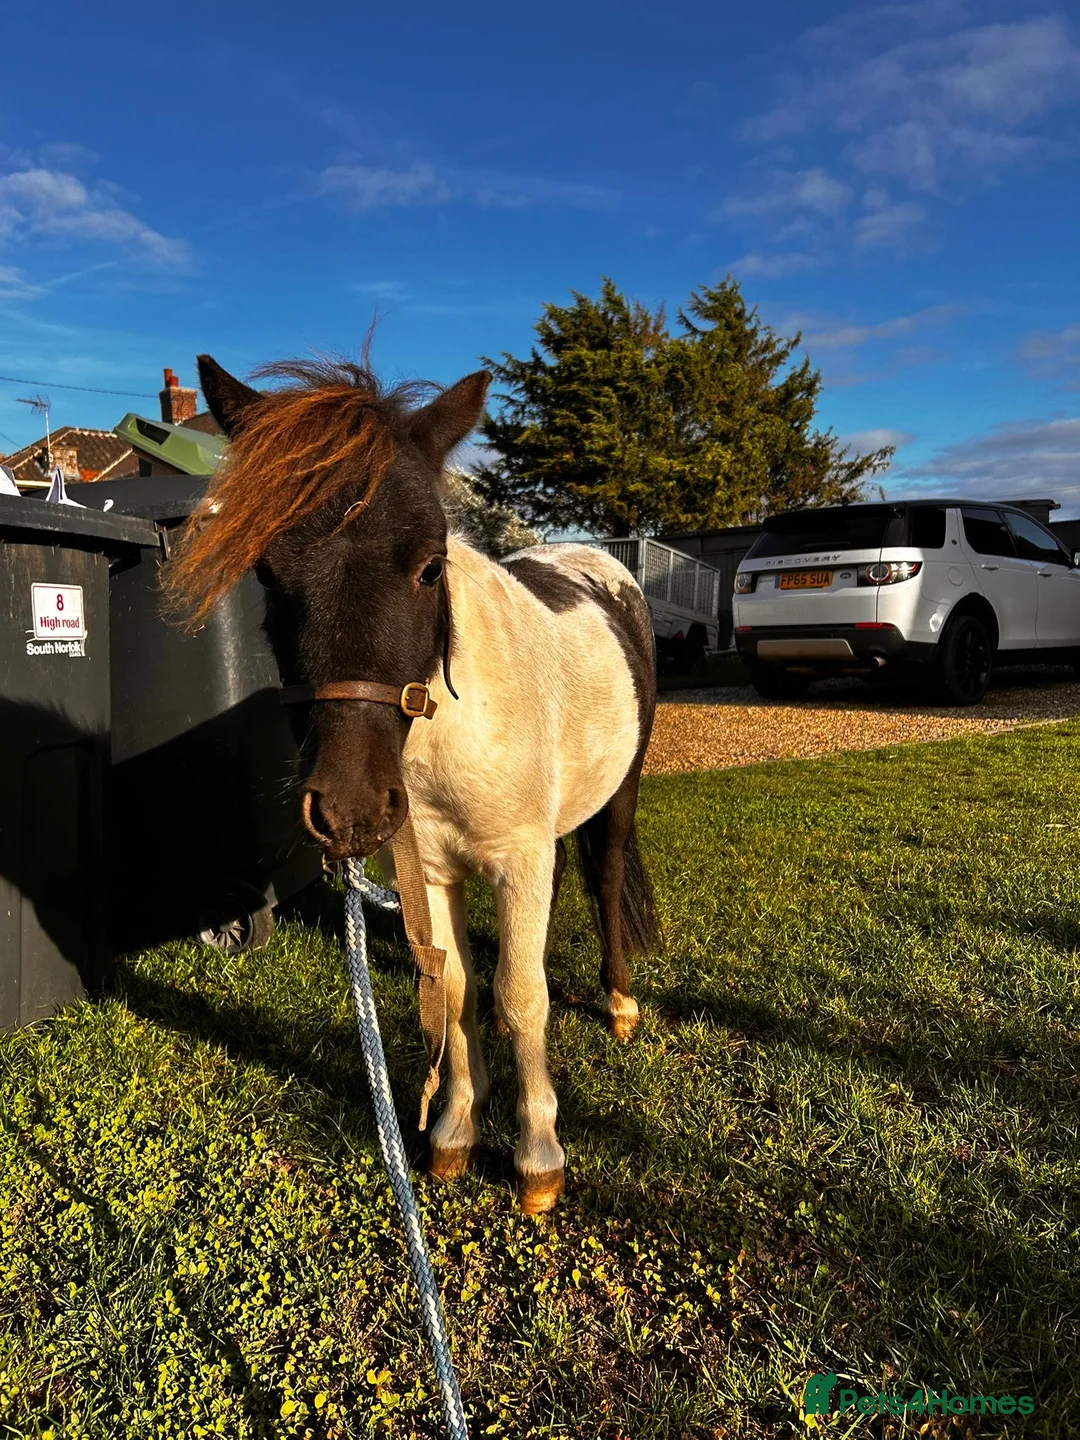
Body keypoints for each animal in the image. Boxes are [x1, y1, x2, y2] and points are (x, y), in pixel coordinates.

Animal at [167, 354, 659, 1213]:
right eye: (267, 573)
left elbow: (523, 995)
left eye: (431, 565)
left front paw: (538, 1155)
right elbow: (455, 990)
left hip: (618, 794)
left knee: (601, 881)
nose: (350, 809)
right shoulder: (429, 872)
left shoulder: (522, 859)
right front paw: (457, 1130)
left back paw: (621, 1002)